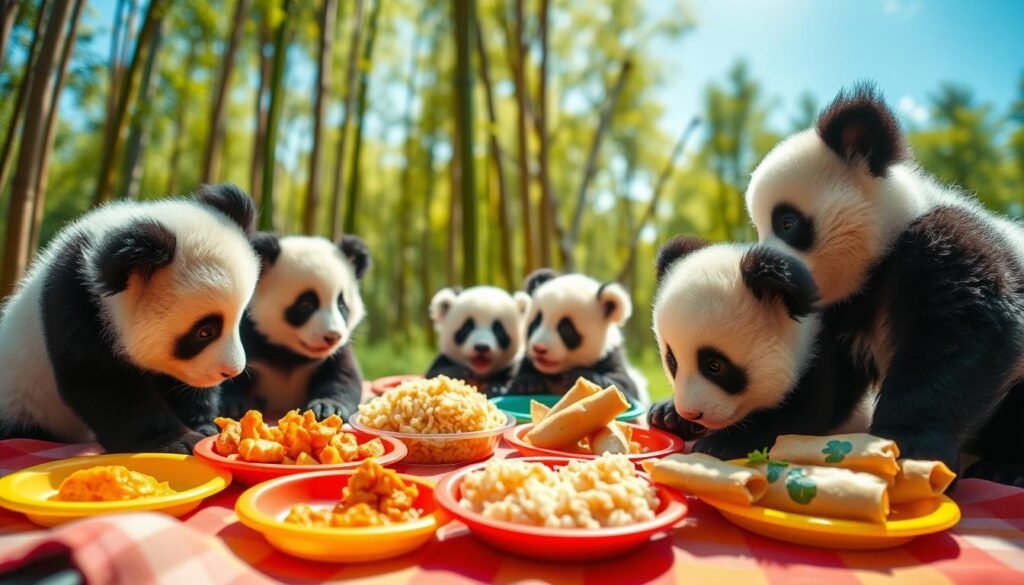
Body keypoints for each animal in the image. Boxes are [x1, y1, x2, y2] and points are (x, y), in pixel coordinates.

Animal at [0, 184, 260, 454]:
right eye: (205, 331)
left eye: (239, 320)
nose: (231, 371)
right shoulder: (78, 302)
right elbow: (103, 380)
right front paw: (176, 441)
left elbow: (179, 384)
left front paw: (205, 426)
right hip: (22, 402)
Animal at [220, 234, 370, 420]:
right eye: (306, 304)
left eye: (341, 305)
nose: (332, 337)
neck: (293, 355)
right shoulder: (249, 340)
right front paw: (233, 406)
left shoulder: (336, 353)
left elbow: (344, 377)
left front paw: (327, 407)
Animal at [508, 269, 648, 403]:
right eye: (536, 322)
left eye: (566, 329)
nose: (539, 348)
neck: (557, 374)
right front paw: (528, 383)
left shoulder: (609, 356)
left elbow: (623, 387)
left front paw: (580, 378)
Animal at [646, 236, 873, 459]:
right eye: (672, 361)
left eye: (715, 365)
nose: (691, 413)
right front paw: (667, 415)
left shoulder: (817, 361)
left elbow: (796, 421)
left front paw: (718, 444)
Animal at [744, 83, 1024, 486]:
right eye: (758, 228)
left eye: (786, 223)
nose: (758, 271)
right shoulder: (840, 310)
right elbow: (822, 388)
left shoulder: (944, 244)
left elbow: (968, 331)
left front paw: (907, 447)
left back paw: (1005, 467)